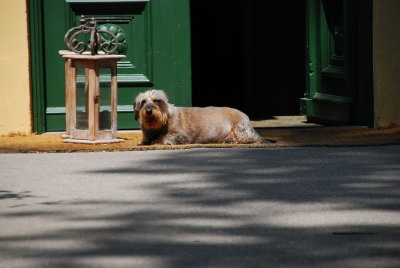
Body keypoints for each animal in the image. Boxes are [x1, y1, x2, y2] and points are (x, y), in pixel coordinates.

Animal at [134, 89, 266, 144]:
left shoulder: (183, 136)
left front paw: (157, 140)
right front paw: (142, 142)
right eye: (143, 101)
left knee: (247, 138)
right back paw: (229, 139)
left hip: (239, 128)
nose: (149, 110)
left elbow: (165, 137)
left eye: (157, 100)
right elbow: (146, 139)